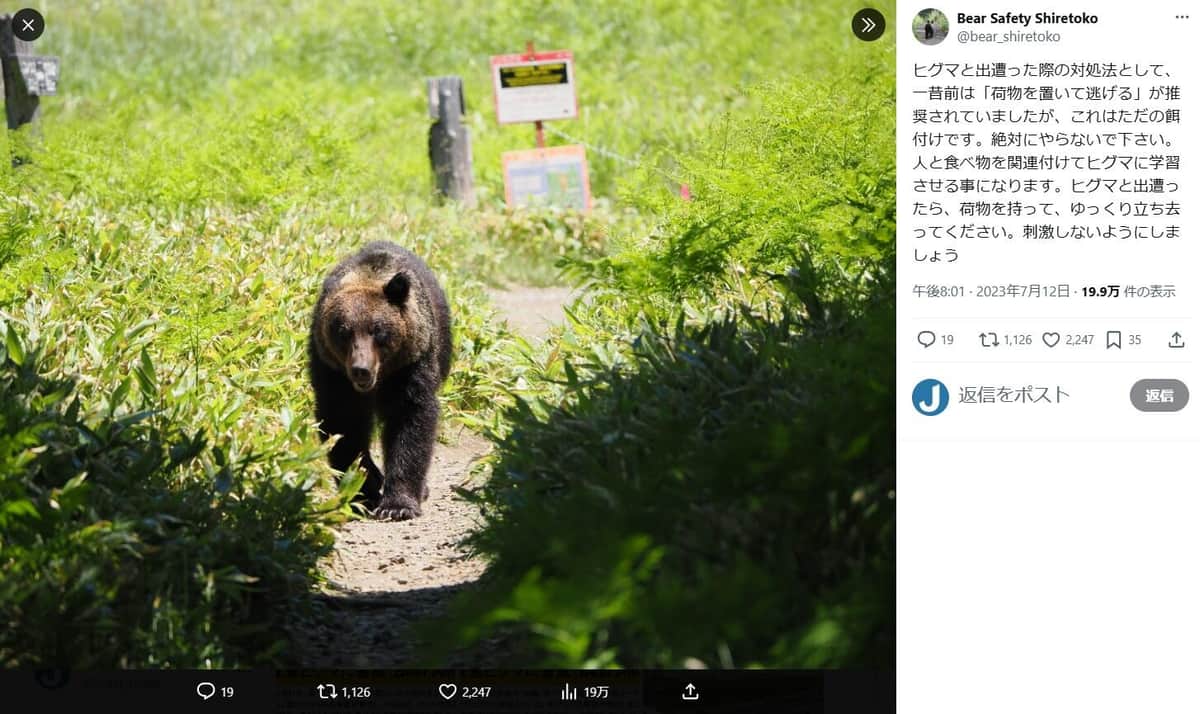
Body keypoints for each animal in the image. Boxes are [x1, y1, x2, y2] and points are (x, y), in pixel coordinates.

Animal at [307, 241, 452, 521]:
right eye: (343, 332)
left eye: (378, 330)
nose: (360, 370)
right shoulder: (332, 372)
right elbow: (343, 423)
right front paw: (365, 489)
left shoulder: (410, 366)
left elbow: (410, 421)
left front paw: (398, 504)